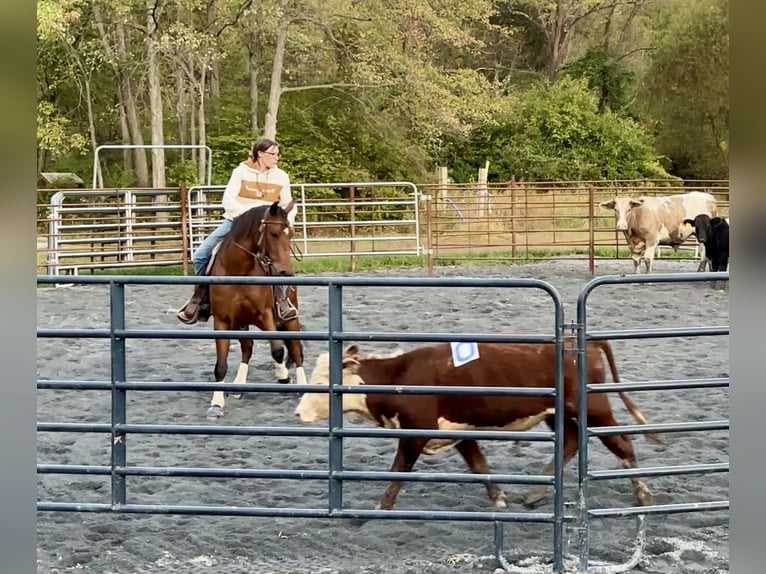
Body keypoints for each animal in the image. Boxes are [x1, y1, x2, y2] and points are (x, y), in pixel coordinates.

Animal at [198, 202, 306, 419]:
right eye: (273, 233)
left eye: (290, 233)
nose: (286, 271)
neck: (238, 270)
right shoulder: (222, 321)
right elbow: (220, 365)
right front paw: (216, 405)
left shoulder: (266, 315)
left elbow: (277, 350)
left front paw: (283, 376)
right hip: (241, 324)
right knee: (247, 348)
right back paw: (238, 386)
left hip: (290, 319)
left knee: (296, 351)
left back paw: (303, 387)